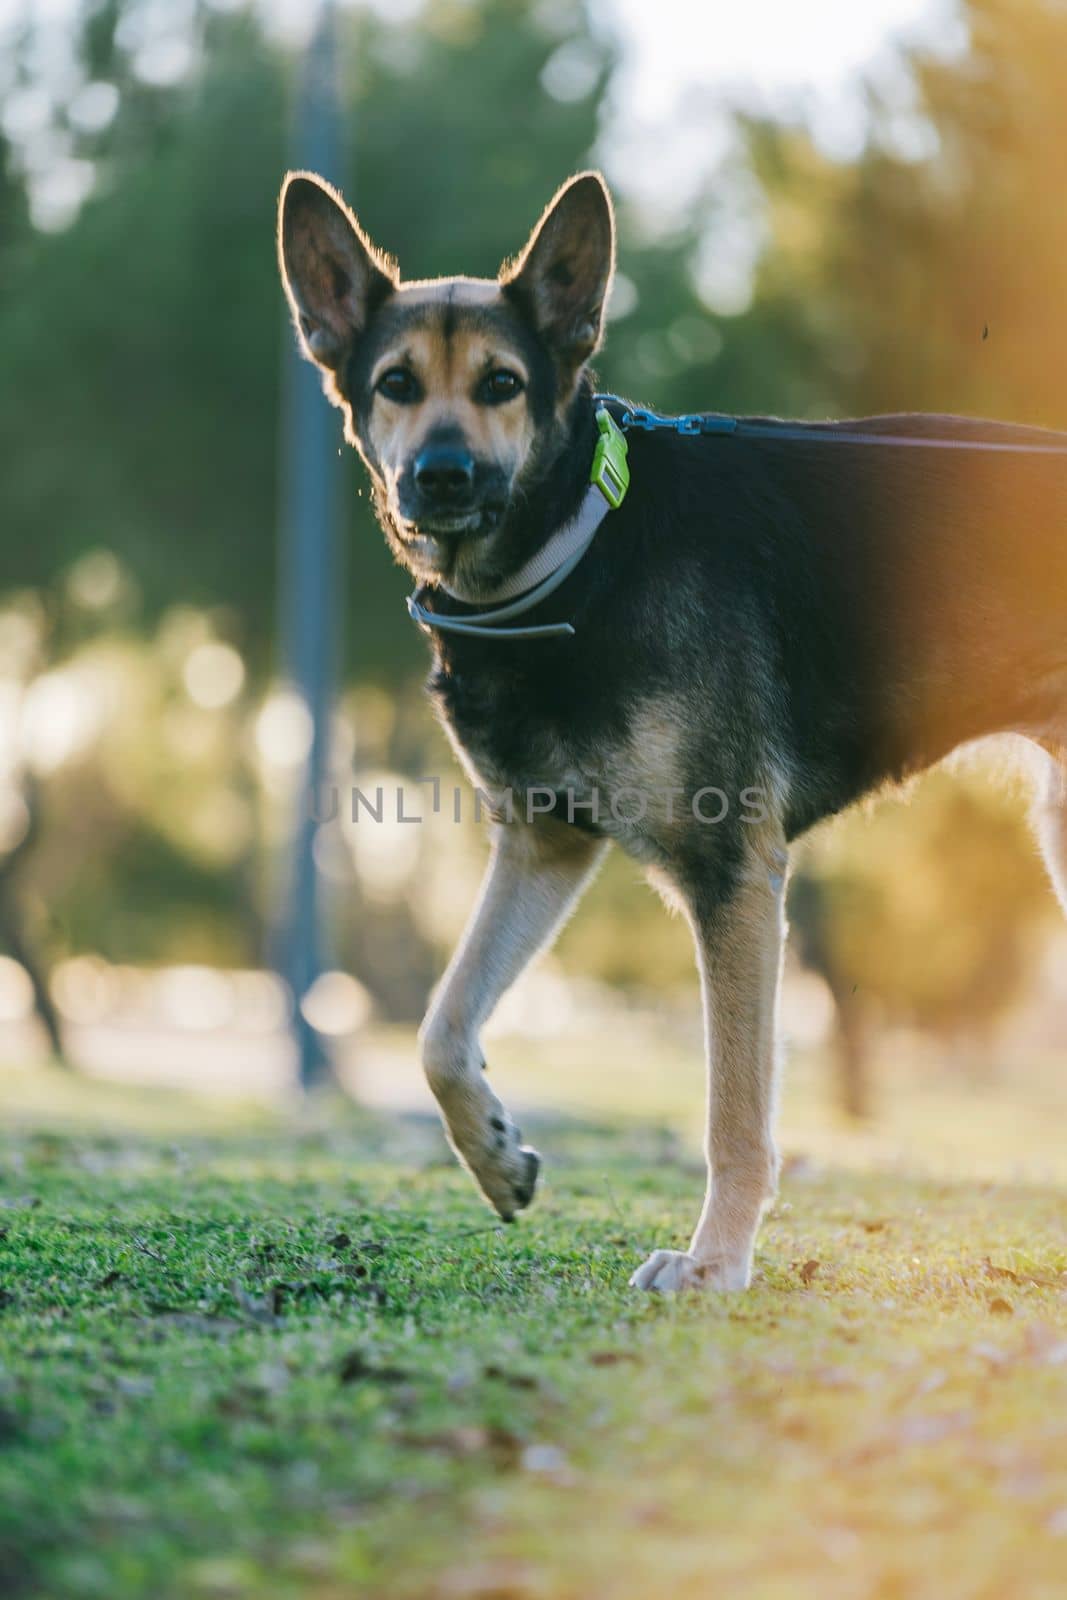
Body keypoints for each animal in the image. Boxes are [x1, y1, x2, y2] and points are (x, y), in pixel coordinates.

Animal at [279, 165, 1067, 1286]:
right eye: (395, 383)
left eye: (501, 384)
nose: (441, 476)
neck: (580, 549)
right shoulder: (541, 846)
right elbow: (440, 1026)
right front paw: (495, 1154)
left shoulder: (730, 872)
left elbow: (732, 1111)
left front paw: (712, 1262)